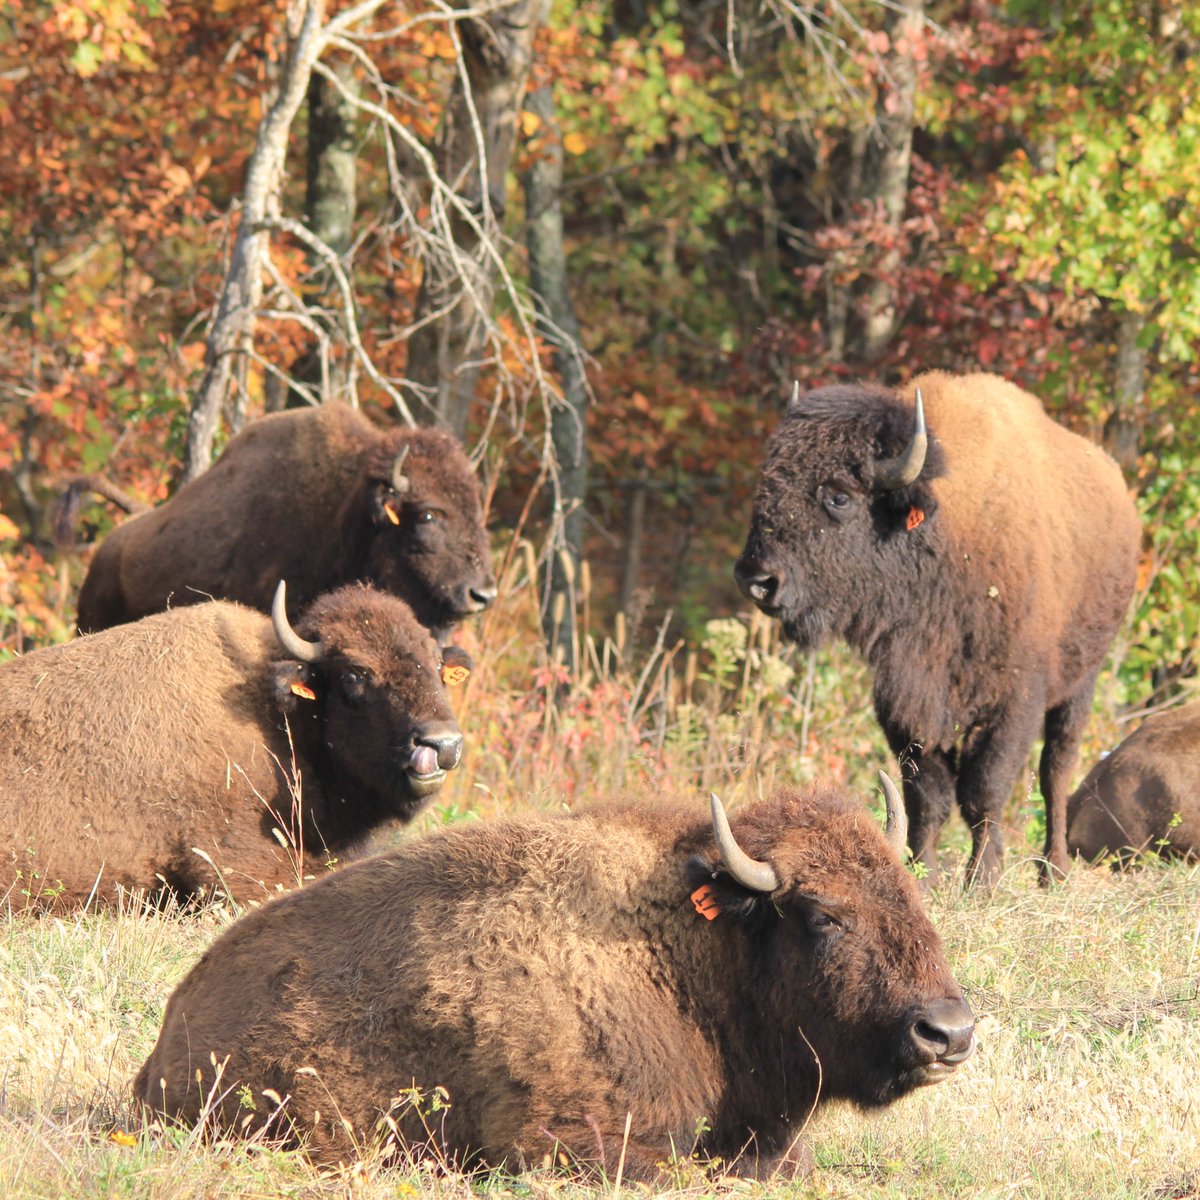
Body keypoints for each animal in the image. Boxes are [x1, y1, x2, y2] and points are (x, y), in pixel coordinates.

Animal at [134, 774, 974, 1180]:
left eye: (908, 891)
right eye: (824, 915)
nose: (949, 1033)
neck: (689, 954)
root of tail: (167, 1039)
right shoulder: (569, 1141)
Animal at [735, 371, 1140, 885]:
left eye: (839, 496)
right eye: (768, 484)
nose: (756, 578)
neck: (945, 534)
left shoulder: (1013, 702)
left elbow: (985, 790)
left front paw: (982, 880)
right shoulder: (906, 700)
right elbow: (925, 795)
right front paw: (921, 873)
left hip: (1081, 681)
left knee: (1057, 770)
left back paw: (1054, 870)